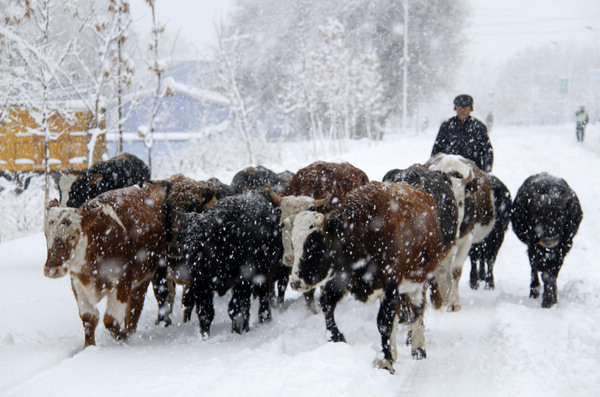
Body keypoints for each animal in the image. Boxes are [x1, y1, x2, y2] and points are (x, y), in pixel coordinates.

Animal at [43, 184, 166, 344]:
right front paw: (89, 346)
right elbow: (89, 318)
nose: (52, 270)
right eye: (46, 235)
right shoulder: (77, 283)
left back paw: (130, 332)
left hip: (143, 279)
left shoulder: (122, 282)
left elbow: (110, 320)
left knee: (135, 307)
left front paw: (123, 337)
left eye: (73, 236)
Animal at [182, 190, 282, 336]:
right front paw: (205, 337)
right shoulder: (202, 285)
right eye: (187, 245)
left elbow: (237, 309)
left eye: (206, 245)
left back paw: (265, 319)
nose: (193, 269)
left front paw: (237, 332)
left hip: (265, 273)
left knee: (263, 297)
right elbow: (206, 313)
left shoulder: (243, 281)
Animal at [286, 181, 450, 372]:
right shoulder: (340, 279)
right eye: (294, 244)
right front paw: (336, 337)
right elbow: (327, 304)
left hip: (418, 282)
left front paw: (386, 361)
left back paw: (418, 348)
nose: (295, 282)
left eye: (315, 245)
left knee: (417, 311)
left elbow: (384, 323)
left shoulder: (390, 285)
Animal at [424, 153, 494, 310]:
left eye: (461, 202)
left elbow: (455, 271)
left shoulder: (466, 239)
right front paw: (445, 296)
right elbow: (442, 271)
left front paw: (453, 302)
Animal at [510, 172, 580, 306]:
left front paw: (550, 299)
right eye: (538, 216)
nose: (549, 240)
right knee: (533, 269)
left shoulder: (563, 248)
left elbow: (551, 273)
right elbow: (539, 268)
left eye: (561, 217)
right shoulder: (533, 246)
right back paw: (534, 292)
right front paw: (546, 299)